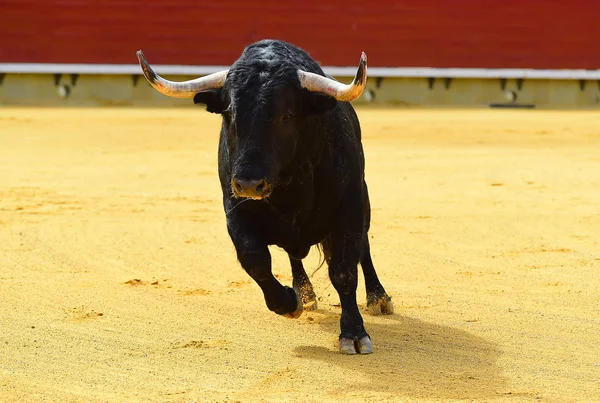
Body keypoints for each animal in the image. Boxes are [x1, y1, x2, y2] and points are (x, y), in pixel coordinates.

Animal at [136, 39, 394, 356]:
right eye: (230, 114)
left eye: (286, 116)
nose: (248, 183)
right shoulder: (236, 211)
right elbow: (255, 261)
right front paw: (290, 302)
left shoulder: (350, 208)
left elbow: (344, 270)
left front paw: (355, 333)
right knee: (294, 257)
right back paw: (305, 294)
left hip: (363, 205)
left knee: (363, 250)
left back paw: (378, 299)